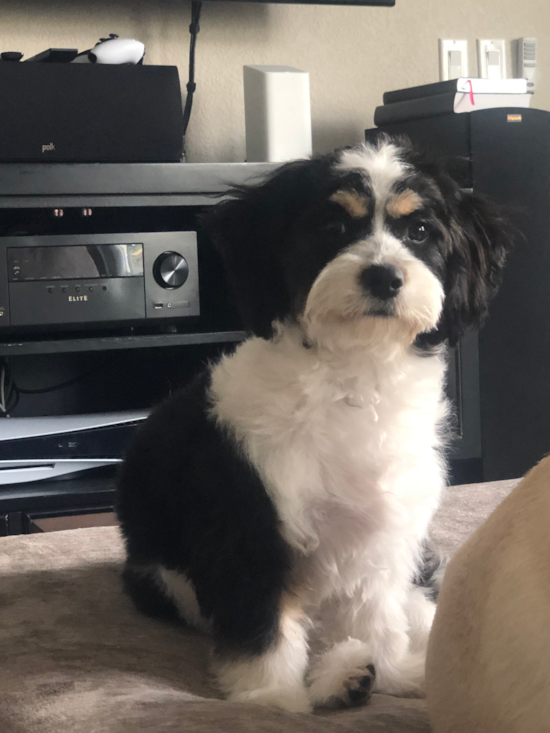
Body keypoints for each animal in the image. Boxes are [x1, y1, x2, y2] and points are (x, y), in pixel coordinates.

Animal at [117, 137, 512, 708]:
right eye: (332, 226)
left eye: (418, 231)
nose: (383, 275)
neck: (354, 376)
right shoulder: (252, 523)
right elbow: (263, 622)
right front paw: (273, 699)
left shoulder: (381, 532)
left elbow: (377, 611)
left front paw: (393, 671)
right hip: (162, 579)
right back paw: (337, 680)